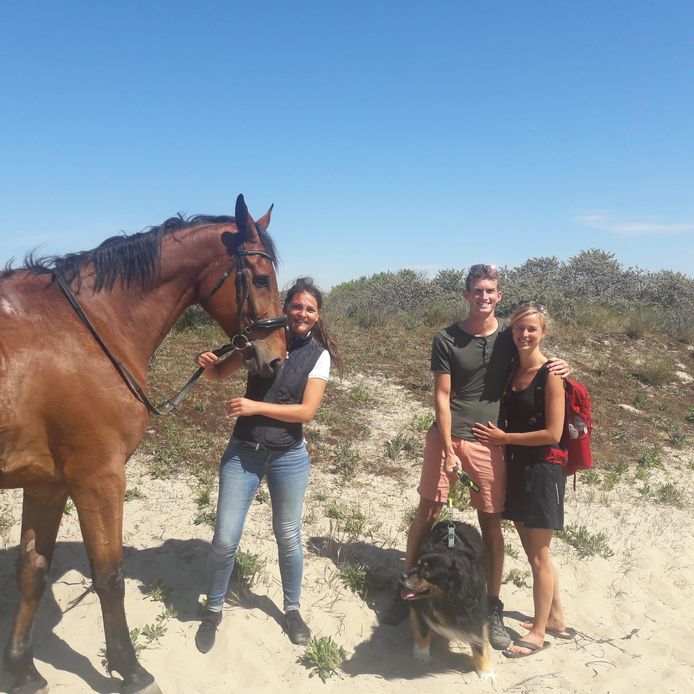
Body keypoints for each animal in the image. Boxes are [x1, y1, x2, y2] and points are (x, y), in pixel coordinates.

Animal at [0, 194, 286, 694]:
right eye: (261, 278)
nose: (277, 358)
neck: (84, 332)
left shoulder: (47, 483)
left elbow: (33, 569)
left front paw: (22, 670)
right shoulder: (98, 478)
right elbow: (109, 576)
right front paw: (130, 670)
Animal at [402, 520, 494, 680]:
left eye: (427, 573)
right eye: (417, 564)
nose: (402, 576)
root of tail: (457, 522)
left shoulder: (475, 611)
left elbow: (479, 644)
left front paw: (486, 672)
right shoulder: (420, 606)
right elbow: (423, 631)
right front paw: (422, 654)